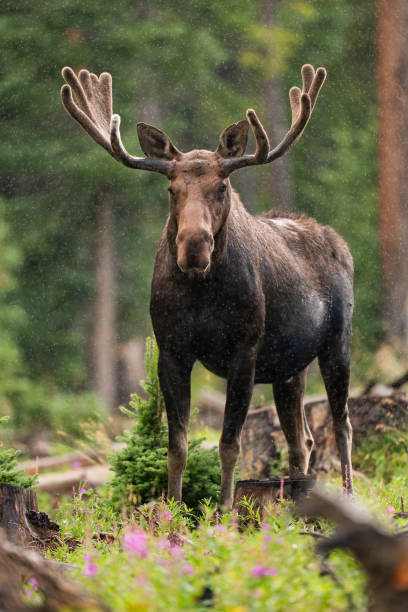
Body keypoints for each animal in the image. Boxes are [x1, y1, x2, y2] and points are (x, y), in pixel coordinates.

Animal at [61, 63, 354, 506]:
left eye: (222, 186)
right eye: (171, 188)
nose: (194, 247)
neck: (201, 294)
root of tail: (339, 241)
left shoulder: (245, 351)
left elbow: (229, 443)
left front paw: (225, 507)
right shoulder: (171, 349)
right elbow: (177, 445)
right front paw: (173, 506)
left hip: (337, 340)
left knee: (342, 424)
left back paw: (348, 495)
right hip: (289, 366)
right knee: (301, 438)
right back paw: (296, 493)